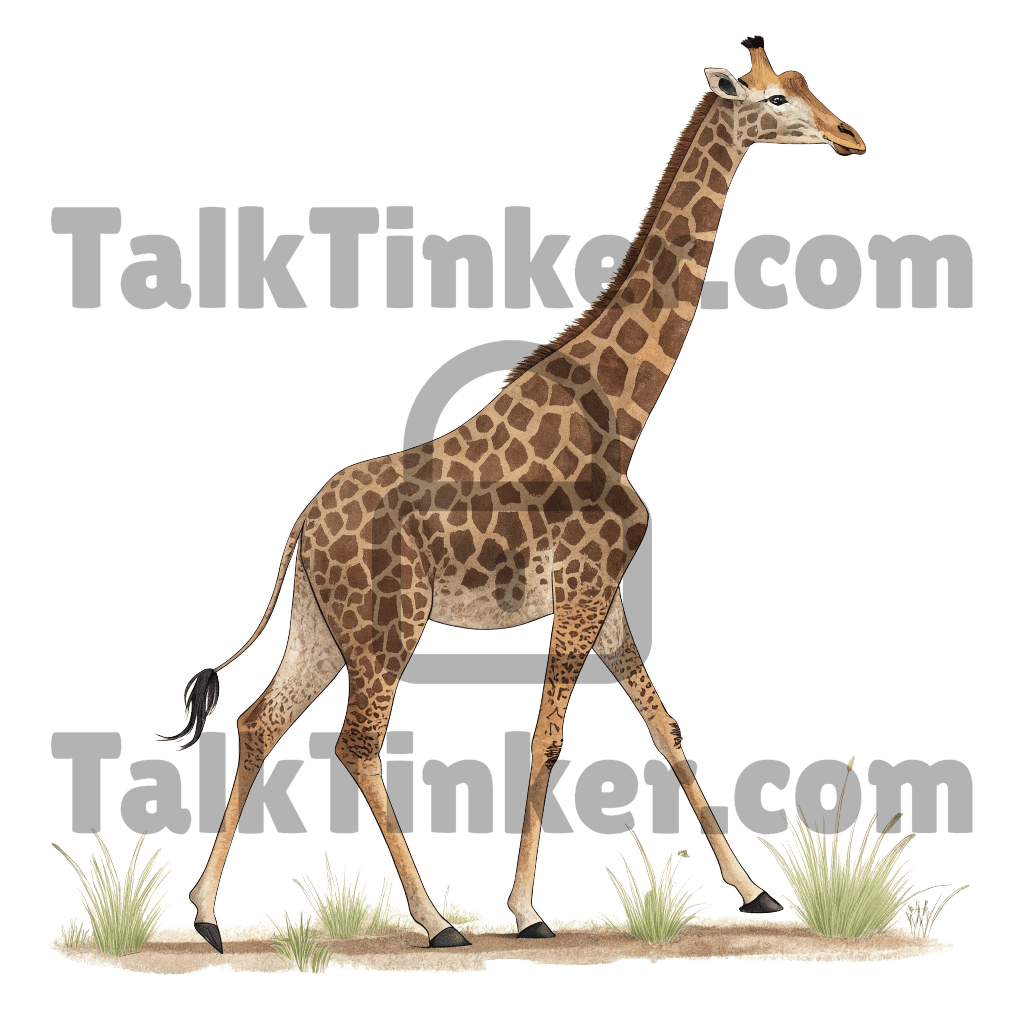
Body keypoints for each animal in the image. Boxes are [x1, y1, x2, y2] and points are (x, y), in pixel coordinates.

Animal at [158, 35, 866, 952]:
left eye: (804, 87)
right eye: (777, 99)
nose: (850, 136)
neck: (620, 412)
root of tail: (302, 524)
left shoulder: (607, 601)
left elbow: (666, 729)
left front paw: (755, 892)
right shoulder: (582, 586)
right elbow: (548, 738)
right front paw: (527, 910)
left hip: (321, 624)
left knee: (257, 723)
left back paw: (208, 915)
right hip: (389, 625)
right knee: (356, 744)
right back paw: (435, 922)